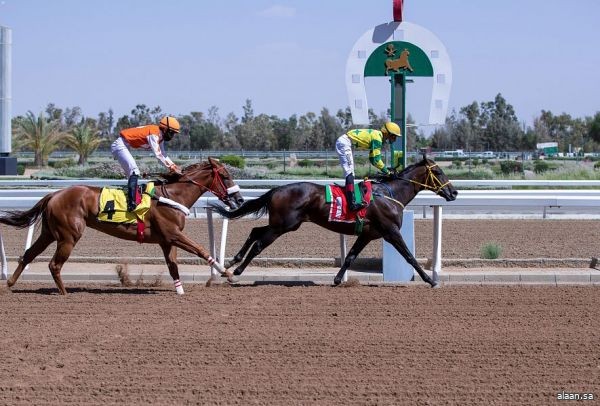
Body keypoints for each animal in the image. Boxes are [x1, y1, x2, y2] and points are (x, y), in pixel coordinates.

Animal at [0, 157, 244, 294]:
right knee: (54, 265)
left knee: (29, 254)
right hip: (69, 236)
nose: (240, 199)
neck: (173, 196)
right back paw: (64, 293)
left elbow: (173, 265)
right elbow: (201, 250)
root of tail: (53, 194)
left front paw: (180, 292)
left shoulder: (166, 240)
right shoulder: (173, 234)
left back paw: (10, 283)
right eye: (225, 176)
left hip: (50, 232)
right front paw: (228, 273)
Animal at [213, 157, 458, 288]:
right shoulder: (391, 231)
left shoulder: (368, 234)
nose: (454, 193)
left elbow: (350, 256)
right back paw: (237, 271)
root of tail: (276, 190)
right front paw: (430, 280)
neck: (390, 194)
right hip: (283, 226)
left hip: (283, 224)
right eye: (438, 171)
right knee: (259, 244)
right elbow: (409, 256)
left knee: (255, 231)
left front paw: (338, 279)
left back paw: (231, 262)